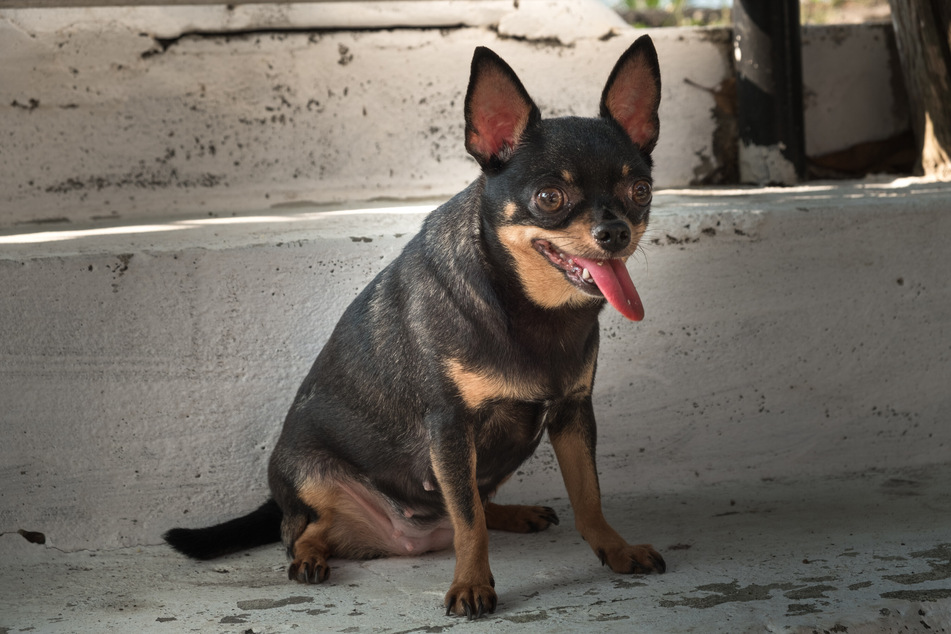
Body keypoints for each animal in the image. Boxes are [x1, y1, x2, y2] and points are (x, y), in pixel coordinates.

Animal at [164, 34, 664, 616]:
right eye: (549, 198)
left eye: (641, 191)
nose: (616, 231)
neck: (528, 306)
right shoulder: (450, 427)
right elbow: (470, 524)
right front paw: (471, 585)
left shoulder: (572, 414)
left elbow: (588, 499)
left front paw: (617, 550)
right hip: (312, 476)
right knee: (305, 529)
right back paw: (310, 556)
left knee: (475, 502)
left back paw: (513, 513)